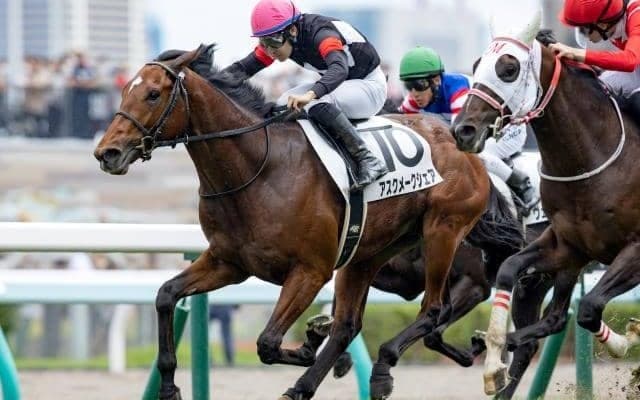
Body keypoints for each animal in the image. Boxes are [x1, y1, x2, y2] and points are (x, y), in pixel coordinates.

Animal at [94, 44, 520, 400]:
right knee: (349, 325)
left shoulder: (310, 271)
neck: (259, 168)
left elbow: (267, 342)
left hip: (443, 232)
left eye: (153, 94)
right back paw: (308, 385)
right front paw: (168, 388)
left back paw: (383, 368)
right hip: (368, 253)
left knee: (432, 310)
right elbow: (166, 295)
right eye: (125, 91)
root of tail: (463, 147)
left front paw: (312, 343)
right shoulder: (228, 262)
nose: (106, 153)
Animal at [452, 10, 640, 395]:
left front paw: (627, 339)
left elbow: (589, 307)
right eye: (477, 64)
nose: (463, 130)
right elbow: (511, 270)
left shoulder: (636, 247)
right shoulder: (568, 245)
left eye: (508, 68)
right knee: (554, 317)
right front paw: (491, 358)